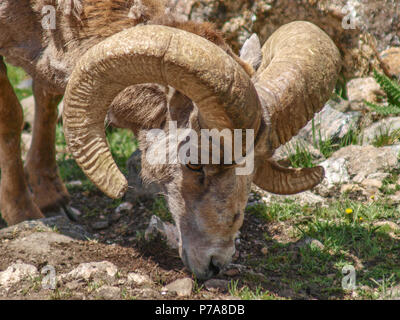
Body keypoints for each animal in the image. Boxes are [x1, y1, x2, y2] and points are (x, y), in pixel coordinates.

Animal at [1, 0, 342, 278]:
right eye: (195, 165)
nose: (216, 263)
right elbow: (12, 116)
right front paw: (23, 214)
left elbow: (47, 97)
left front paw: (52, 199)